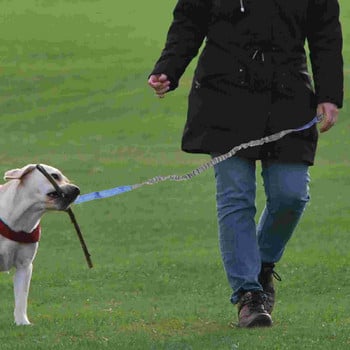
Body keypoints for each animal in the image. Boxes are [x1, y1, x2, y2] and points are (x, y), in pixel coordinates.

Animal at [0, 164, 79, 326]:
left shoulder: (24, 266)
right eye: (55, 176)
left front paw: (22, 322)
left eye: (67, 179)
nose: (77, 190)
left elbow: (21, 298)